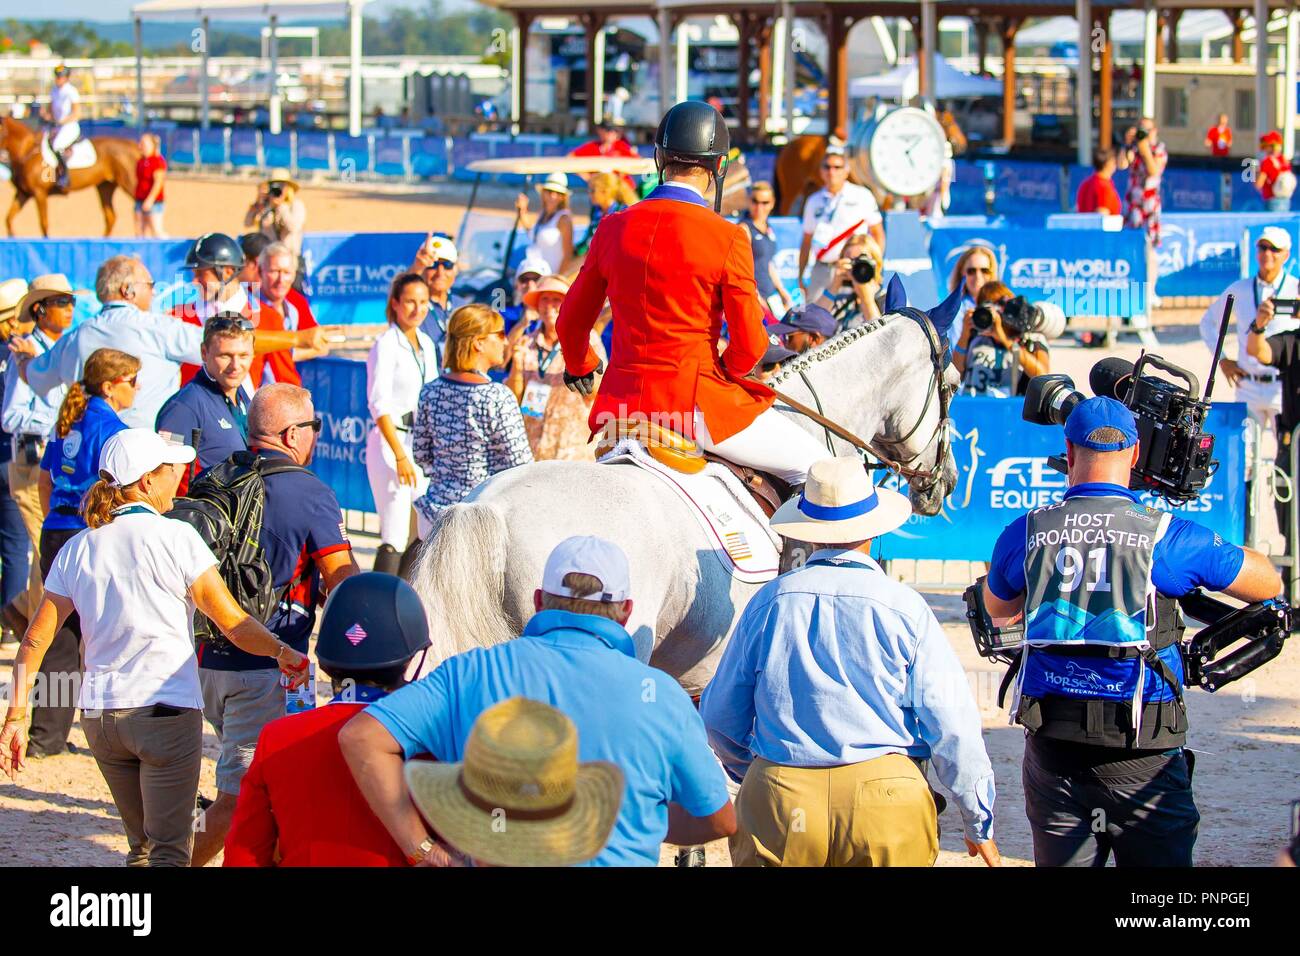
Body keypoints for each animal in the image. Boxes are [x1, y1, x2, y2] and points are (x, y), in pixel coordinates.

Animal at [0, 117, 139, 238]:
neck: (26, 152)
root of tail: (134, 145)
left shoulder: (39, 193)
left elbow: (44, 224)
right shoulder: (23, 193)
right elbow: (8, 219)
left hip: (129, 184)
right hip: (105, 186)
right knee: (110, 217)